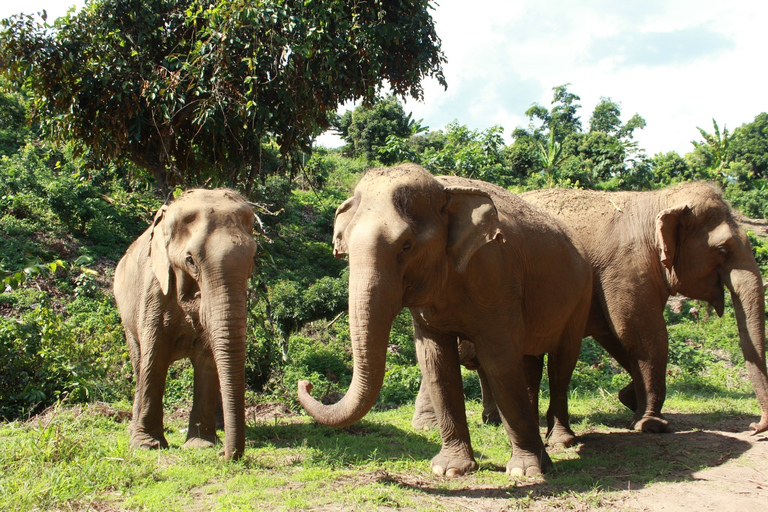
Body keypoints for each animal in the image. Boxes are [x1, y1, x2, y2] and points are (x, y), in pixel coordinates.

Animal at [114, 188, 258, 460]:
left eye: (253, 257)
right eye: (190, 261)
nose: (225, 455)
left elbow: (206, 360)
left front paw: (202, 445)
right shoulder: (154, 289)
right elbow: (155, 356)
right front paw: (147, 445)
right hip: (125, 314)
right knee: (139, 361)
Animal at [296, 164, 592, 476]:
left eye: (406, 246)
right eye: (347, 250)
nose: (307, 383)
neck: (443, 188)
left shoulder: (496, 273)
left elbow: (499, 360)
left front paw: (524, 472)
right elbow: (435, 361)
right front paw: (449, 469)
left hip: (582, 296)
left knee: (561, 363)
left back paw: (560, 443)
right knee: (530, 363)